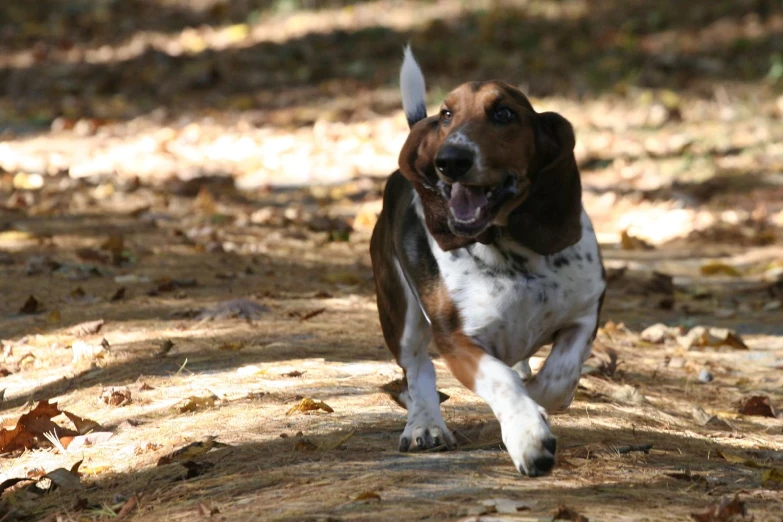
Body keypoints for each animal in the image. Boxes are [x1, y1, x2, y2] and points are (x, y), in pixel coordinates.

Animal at [372, 48, 608, 476]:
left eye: (503, 113)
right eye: (447, 115)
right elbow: (501, 381)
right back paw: (425, 425)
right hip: (401, 315)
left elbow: (557, 379)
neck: (510, 248)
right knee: (417, 370)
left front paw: (538, 405)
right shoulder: (457, 339)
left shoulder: (584, 314)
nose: (450, 160)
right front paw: (528, 434)